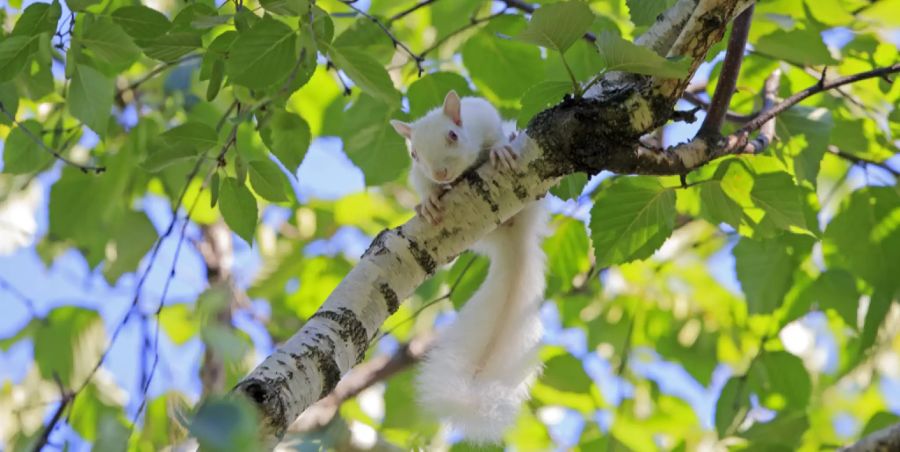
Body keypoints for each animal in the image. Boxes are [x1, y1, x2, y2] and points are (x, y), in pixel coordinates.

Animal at [388, 90, 548, 444]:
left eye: (453, 135)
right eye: (414, 153)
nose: (441, 174)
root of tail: (511, 237)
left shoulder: (483, 115)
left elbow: (495, 134)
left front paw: (501, 149)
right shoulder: (418, 175)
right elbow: (423, 187)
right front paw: (429, 201)